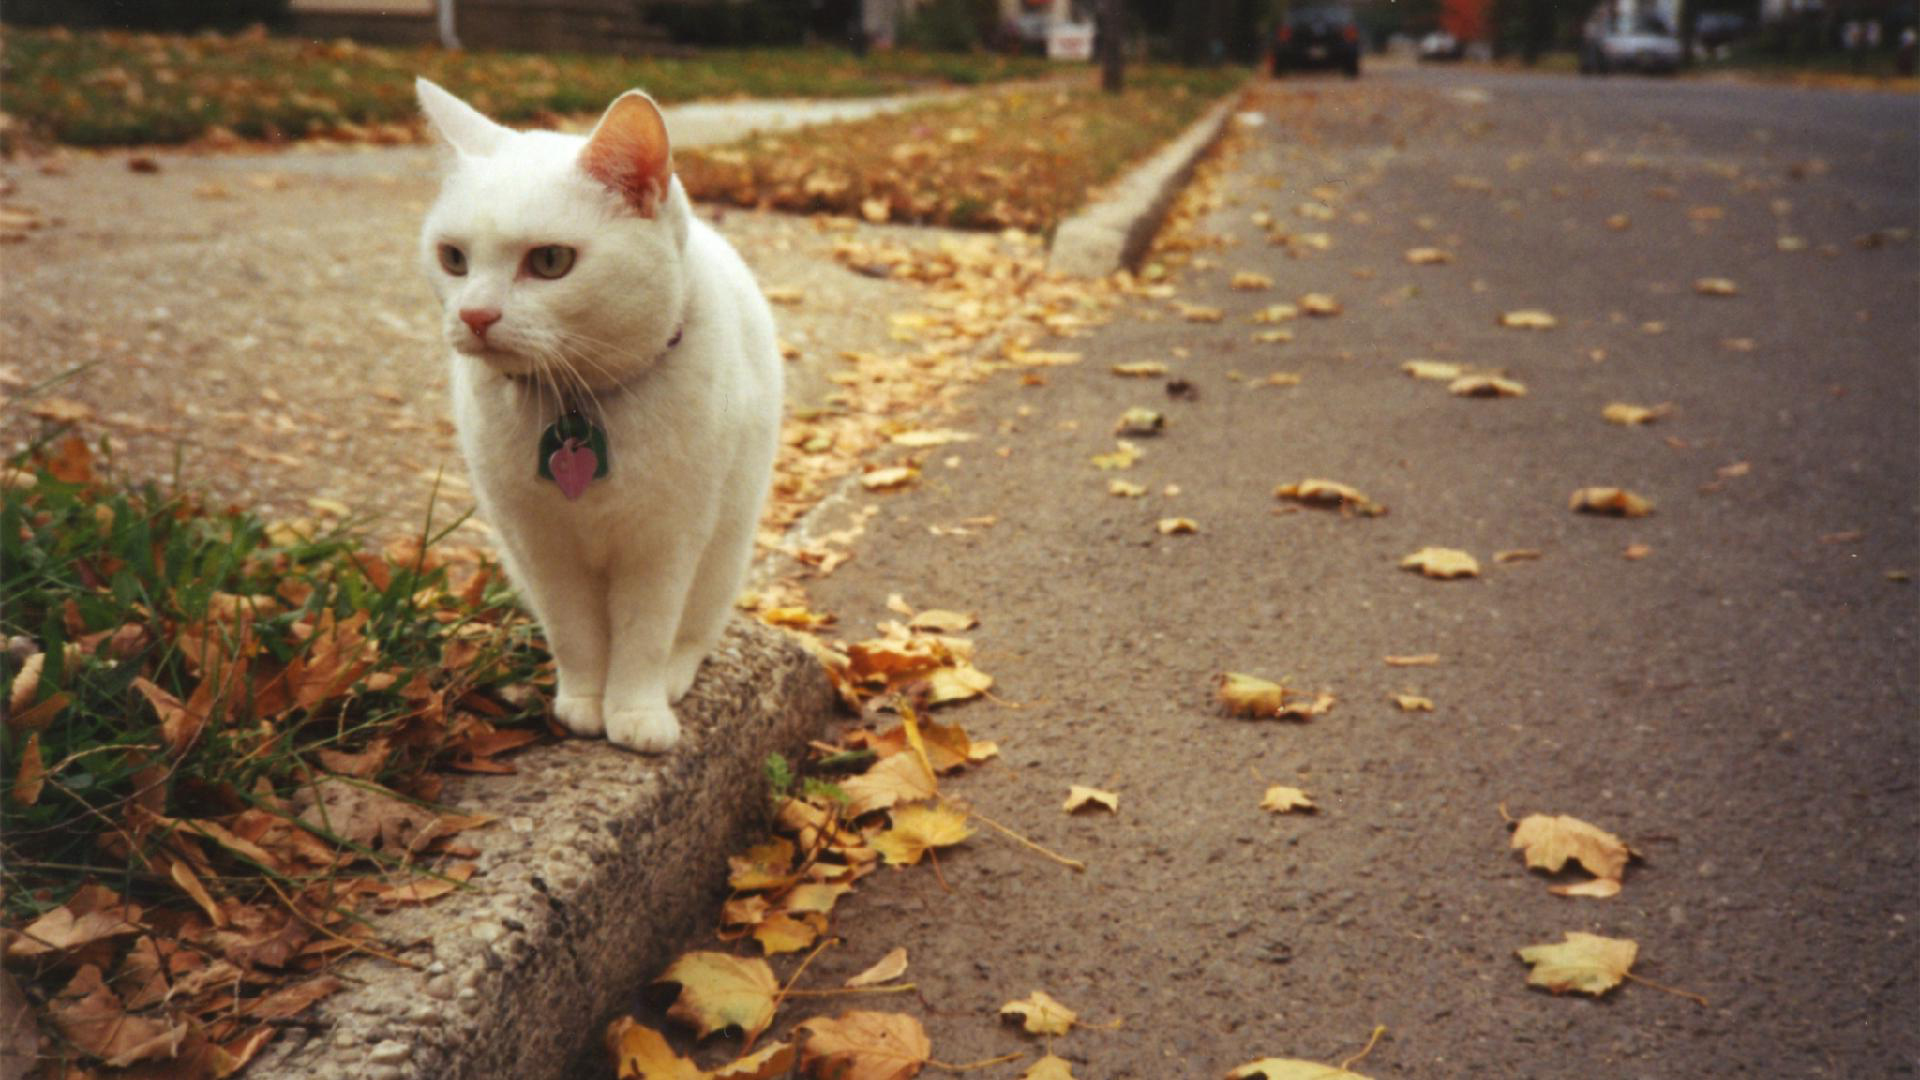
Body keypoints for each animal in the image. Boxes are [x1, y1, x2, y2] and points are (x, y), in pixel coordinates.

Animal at [418, 77, 779, 749]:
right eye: (453, 258)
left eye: (550, 261)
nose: (474, 315)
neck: (578, 403)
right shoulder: (540, 544)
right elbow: (576, 633)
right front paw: (585, 701)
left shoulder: (665, 542)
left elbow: (645, 636)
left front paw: (635, 713)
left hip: (724, 549)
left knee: (694, 630)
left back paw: (673, 678)